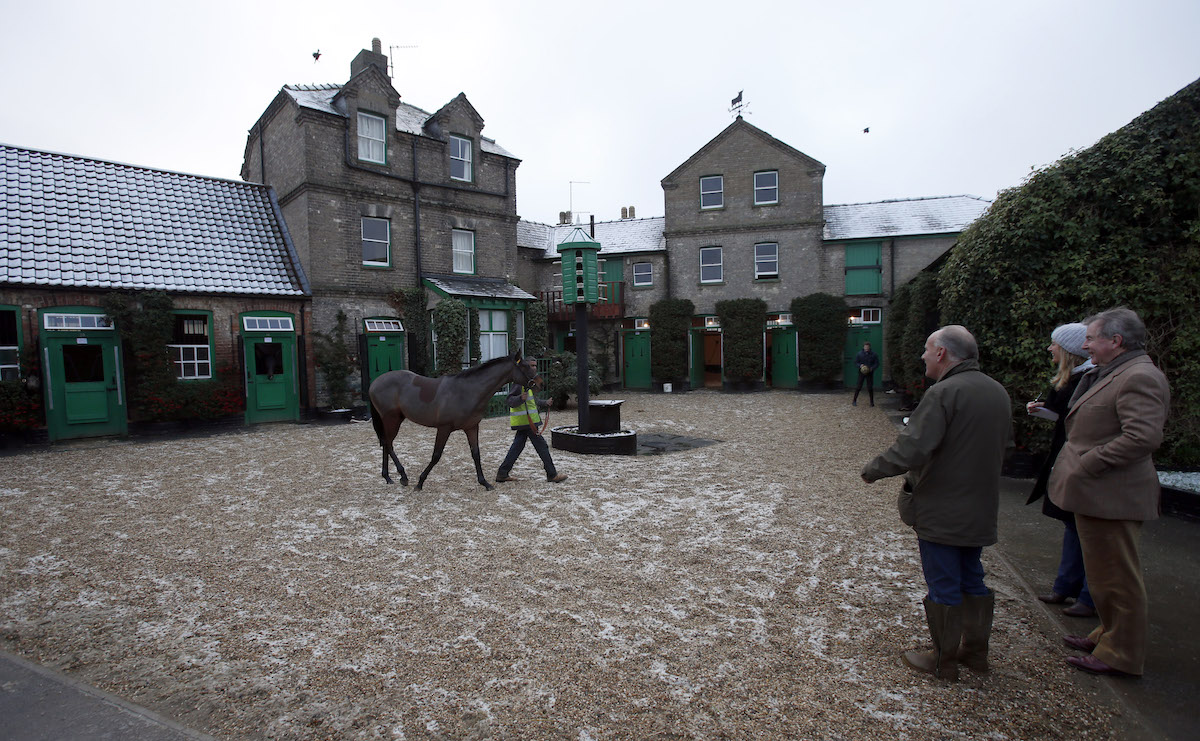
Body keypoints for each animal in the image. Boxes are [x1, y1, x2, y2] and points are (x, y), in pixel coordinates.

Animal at [367, 347, 542, 486]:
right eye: (527, 366)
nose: (540, 383)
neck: (466, 391)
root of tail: (374, 383)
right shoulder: (444, 428)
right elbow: (436, 455)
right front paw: (421, 482)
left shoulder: (471, 427)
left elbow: (476, 453)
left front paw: (484, 482)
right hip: (391, 419)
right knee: (388, 444)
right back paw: (402, 476)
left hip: (394, 419)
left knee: (386, 443)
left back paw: (388, 477)